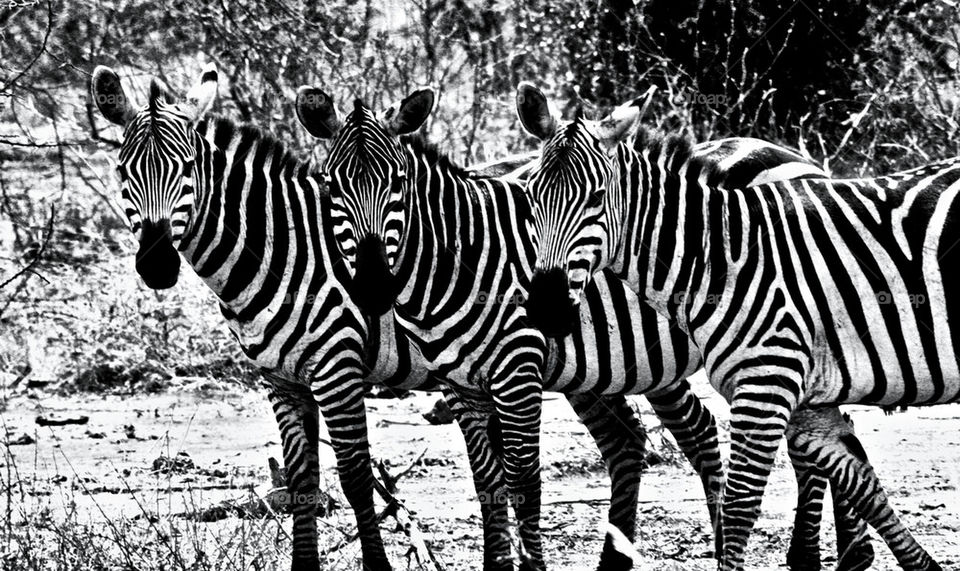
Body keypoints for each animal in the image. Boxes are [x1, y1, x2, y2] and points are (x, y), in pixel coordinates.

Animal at [294, 86, 877, 571]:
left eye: (398, 185)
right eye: (331, 188)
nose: (372, 289)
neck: (459, 254)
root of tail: (803, 160)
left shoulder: (507, 363)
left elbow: (518, 477)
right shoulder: (460, 384)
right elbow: (487, 482)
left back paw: (817, 556)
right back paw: (849, 552)